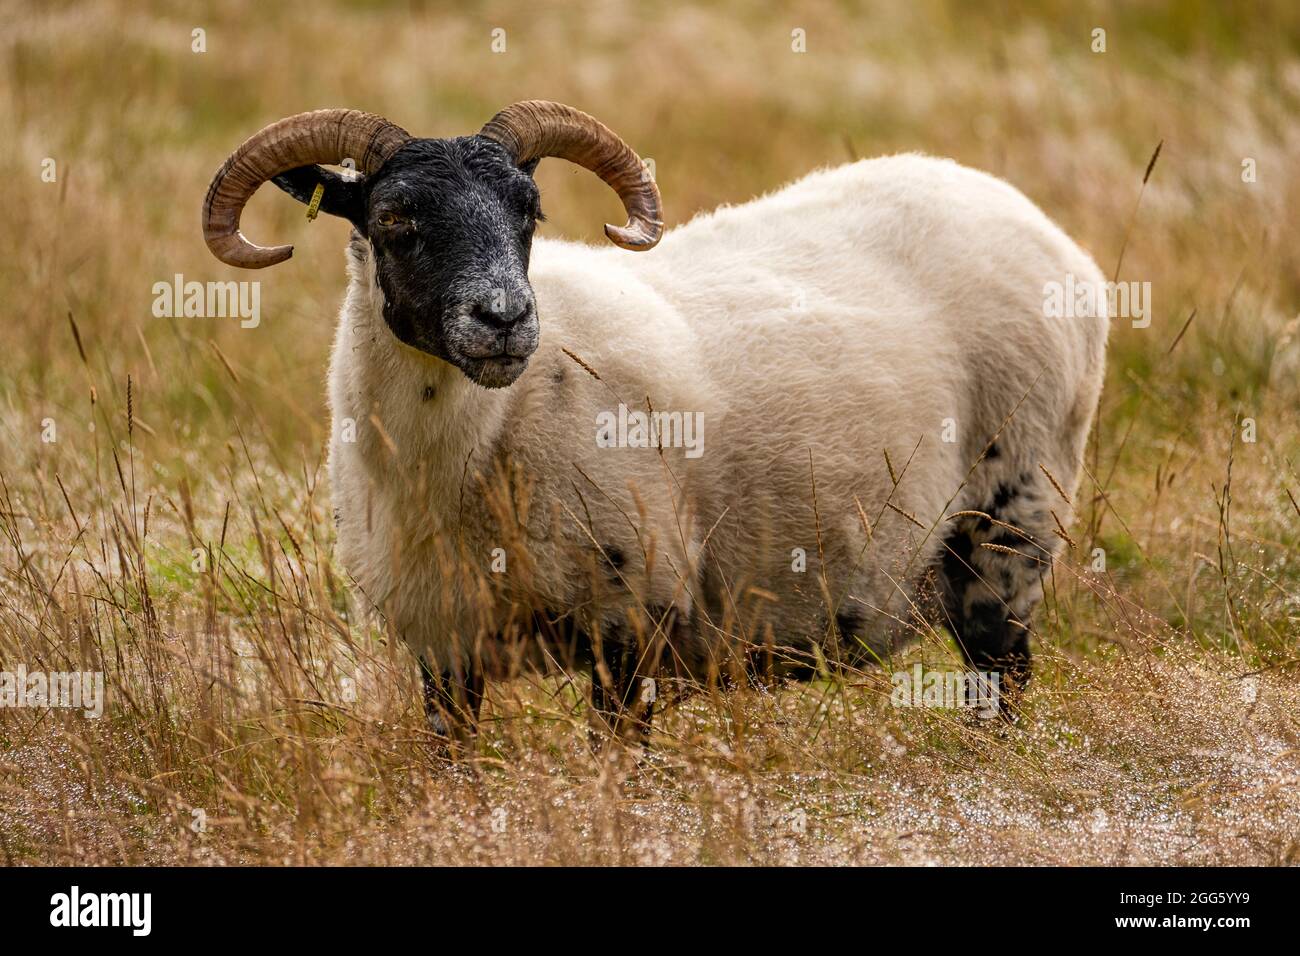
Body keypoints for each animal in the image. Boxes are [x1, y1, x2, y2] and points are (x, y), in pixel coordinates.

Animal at [202, 100, 1107, 743]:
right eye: (394, 219)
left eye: (530, 211)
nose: (504, 320)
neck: (465, 447)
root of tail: (1047, 234)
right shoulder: (445, 650)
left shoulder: (633, 620)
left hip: (1013, 521)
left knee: (1002, 677)